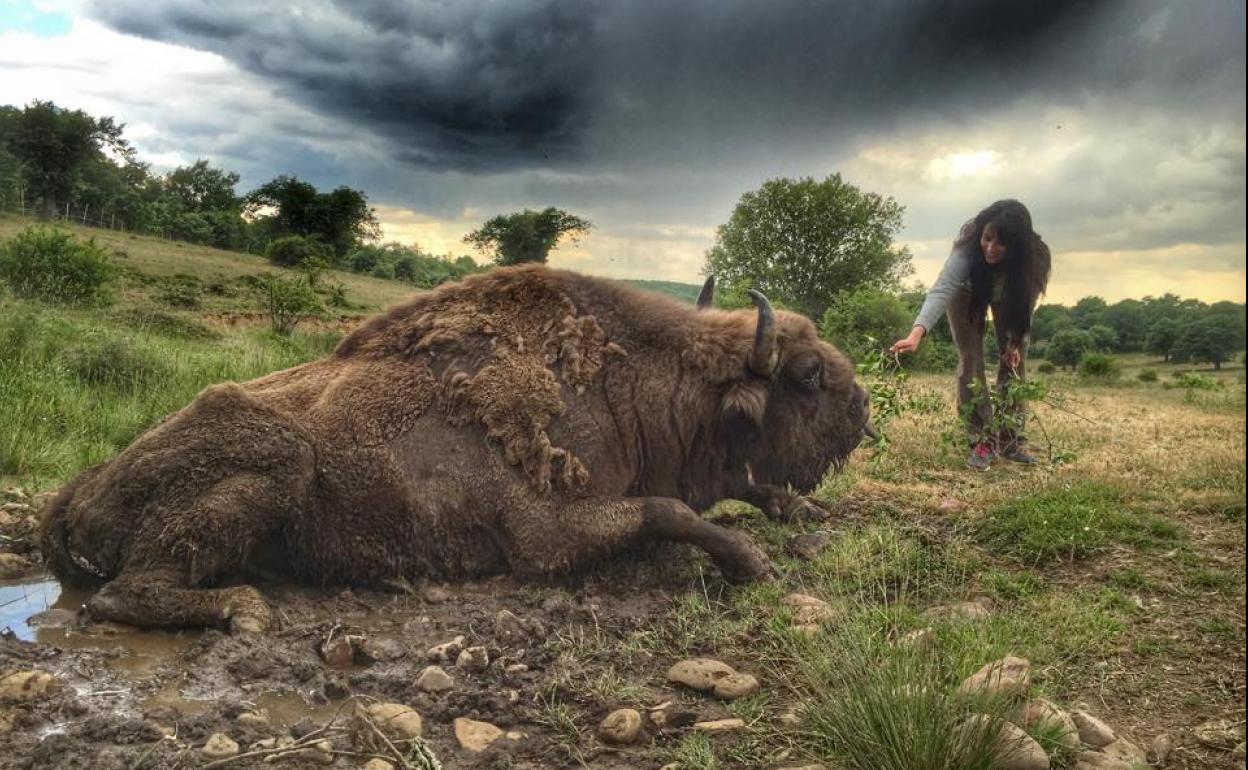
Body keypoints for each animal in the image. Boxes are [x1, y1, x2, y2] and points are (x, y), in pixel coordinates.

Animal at [43, 264, 873, 631]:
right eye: (805, 376)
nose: (862, 409)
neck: (627, 387)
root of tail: (84, 484)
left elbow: (733, 489)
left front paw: (800, 516)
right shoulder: (544, 535)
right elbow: (669, 510)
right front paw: (752, 563)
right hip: (277, 465)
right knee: (123, 592)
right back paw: (243, 609)